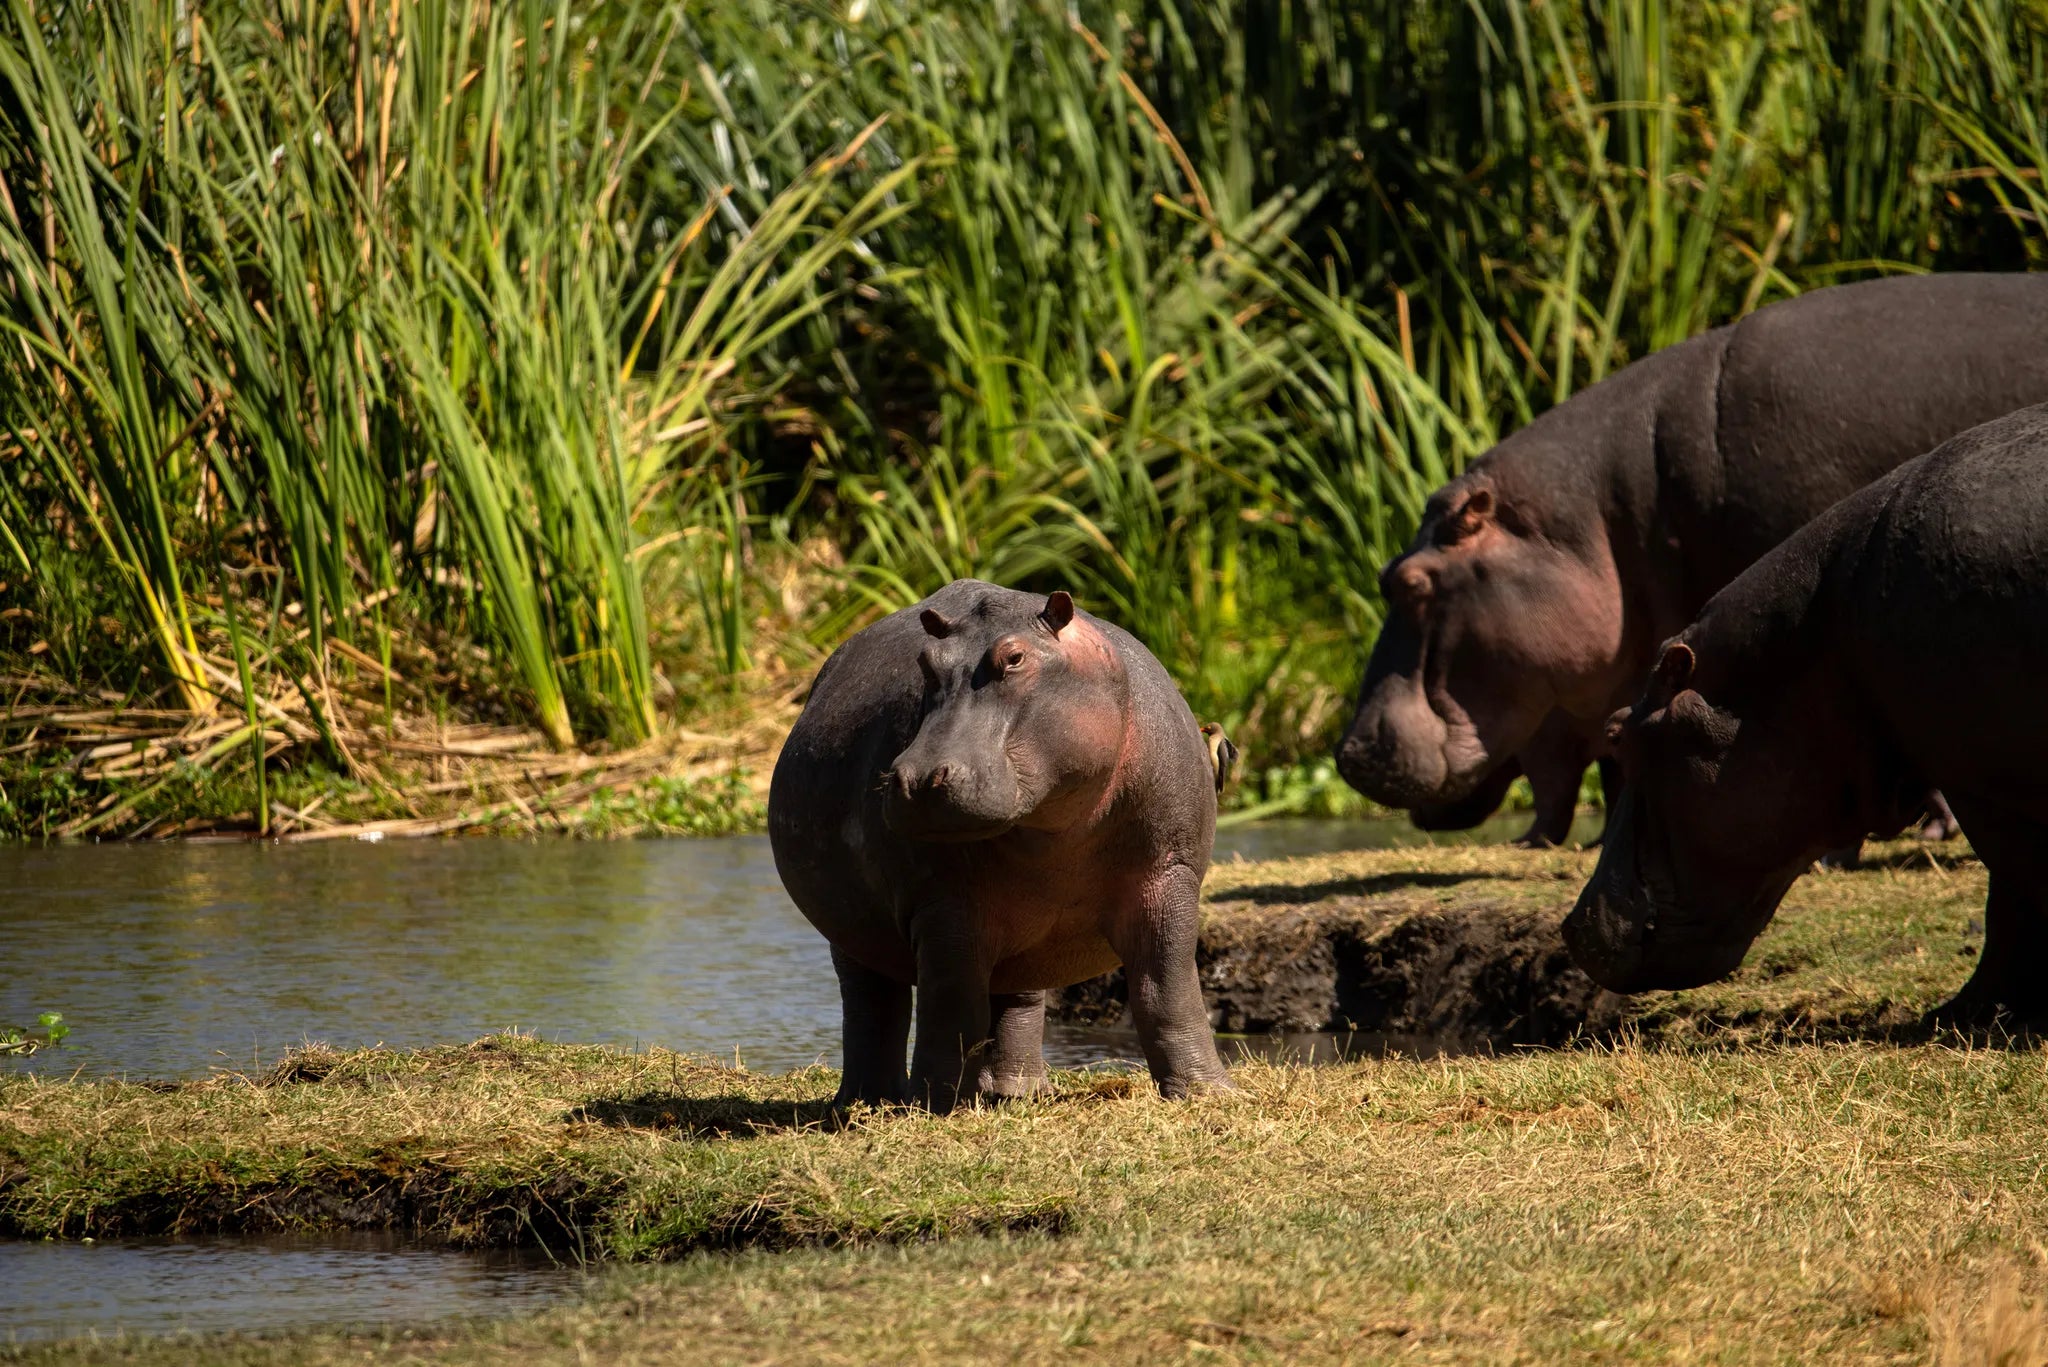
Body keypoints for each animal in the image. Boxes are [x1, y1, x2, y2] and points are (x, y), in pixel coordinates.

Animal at [768, 579, 1232, 1109]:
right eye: (926, 662)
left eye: (1014, 658)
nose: (918, 778)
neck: (1057, 826)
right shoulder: (943, 904)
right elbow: (951, 1006)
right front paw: (935, 1106)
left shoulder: (1168, 876)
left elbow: (1167, 990)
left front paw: (1208, 1094)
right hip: (853, 928)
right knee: (872, 1003)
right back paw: (871, 1102)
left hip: (1027, 938)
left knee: (1019, 997)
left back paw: (1015, 1091)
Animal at [1565, 402, 2048, 1022]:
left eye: (1621, 731)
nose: (1571, 926)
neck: (1819, 635)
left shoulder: (1986, 788)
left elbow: (2014, 899)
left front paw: (1959, 1014)